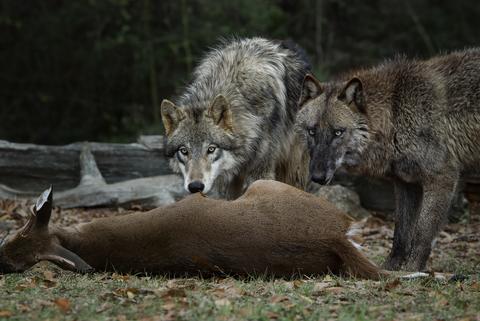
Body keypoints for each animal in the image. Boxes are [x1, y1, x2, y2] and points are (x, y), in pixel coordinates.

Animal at [296, 48, 480, 270]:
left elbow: (422, 234)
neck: (395, 114)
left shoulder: (442, 178)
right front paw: (388, 270)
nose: (317, 177)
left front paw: (411, 271)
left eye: (338, 132)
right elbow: (400, 234)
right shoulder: (405, 184)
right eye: (312, 131)